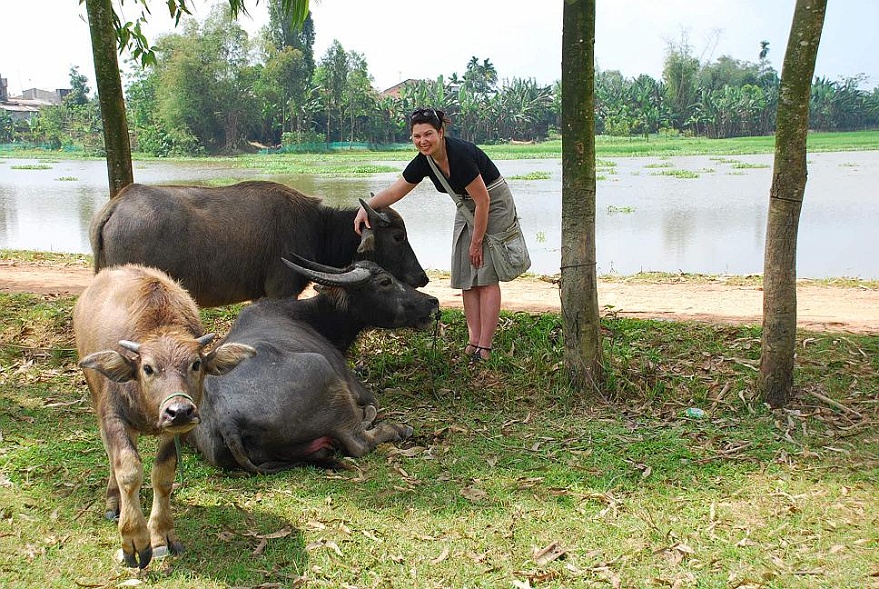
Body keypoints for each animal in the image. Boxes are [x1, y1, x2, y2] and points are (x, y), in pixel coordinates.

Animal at [74, 264, 256, 568]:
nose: (179, 410)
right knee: (113, 458)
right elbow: (128, 470)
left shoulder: (179, 430)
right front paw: (133, 539)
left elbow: (163, 476)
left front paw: (161, 536)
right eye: (147, 368)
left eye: (196, 364)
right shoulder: (112, 417)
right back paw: (113, 500)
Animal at [189, 255, 444, 470]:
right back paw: (397, 429)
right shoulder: (358, 390)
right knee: (359, 442)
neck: (310, 317)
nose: (433, 301)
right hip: (324, 371)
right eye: (385, 281)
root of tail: (227, 420)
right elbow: (373, 406)